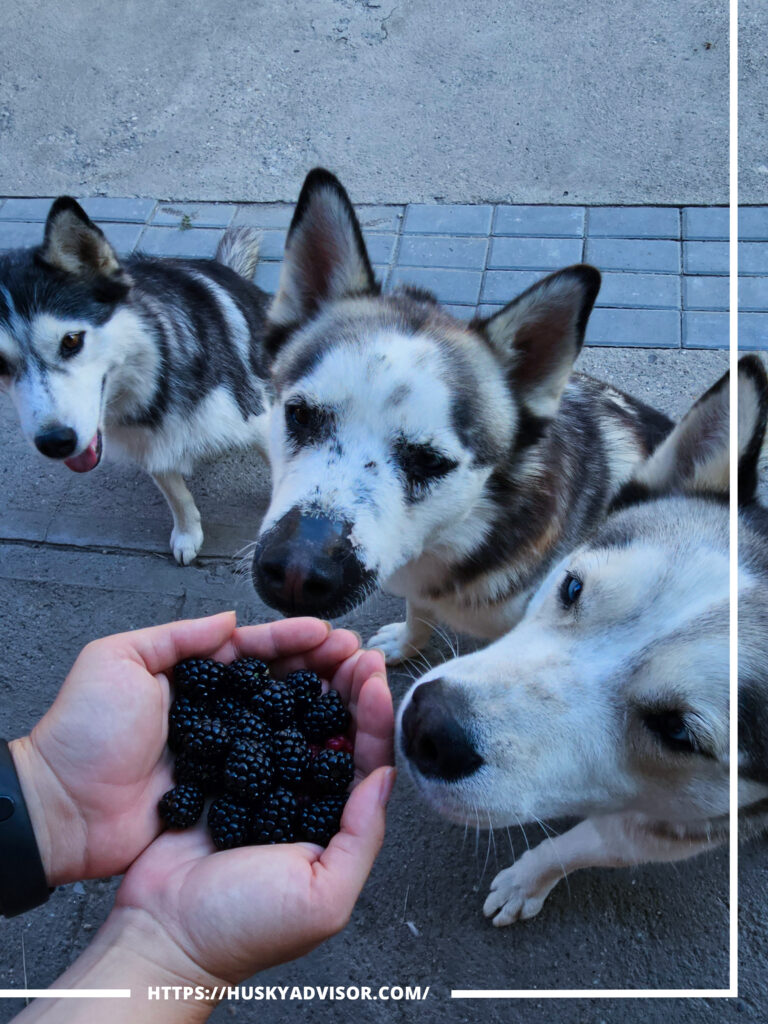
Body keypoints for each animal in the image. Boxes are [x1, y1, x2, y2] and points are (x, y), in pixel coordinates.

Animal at [0, 195, 272, 565]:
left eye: (71, 340)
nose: (55, 442)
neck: (158, 374)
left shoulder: (259, 419)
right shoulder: (148, 443)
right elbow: (176, 495)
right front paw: (188, 534)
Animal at [253, 169, 671, 663]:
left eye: (429, 460)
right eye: (300, 415)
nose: (297, 574)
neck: (465, 532)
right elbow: (419, 613)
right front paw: (406, 644)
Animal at [397, 356, 768, 925]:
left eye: (676, 731)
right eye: (572, 587)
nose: (430, 728)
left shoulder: (680, 828)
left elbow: (582, 846)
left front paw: (527, 880)